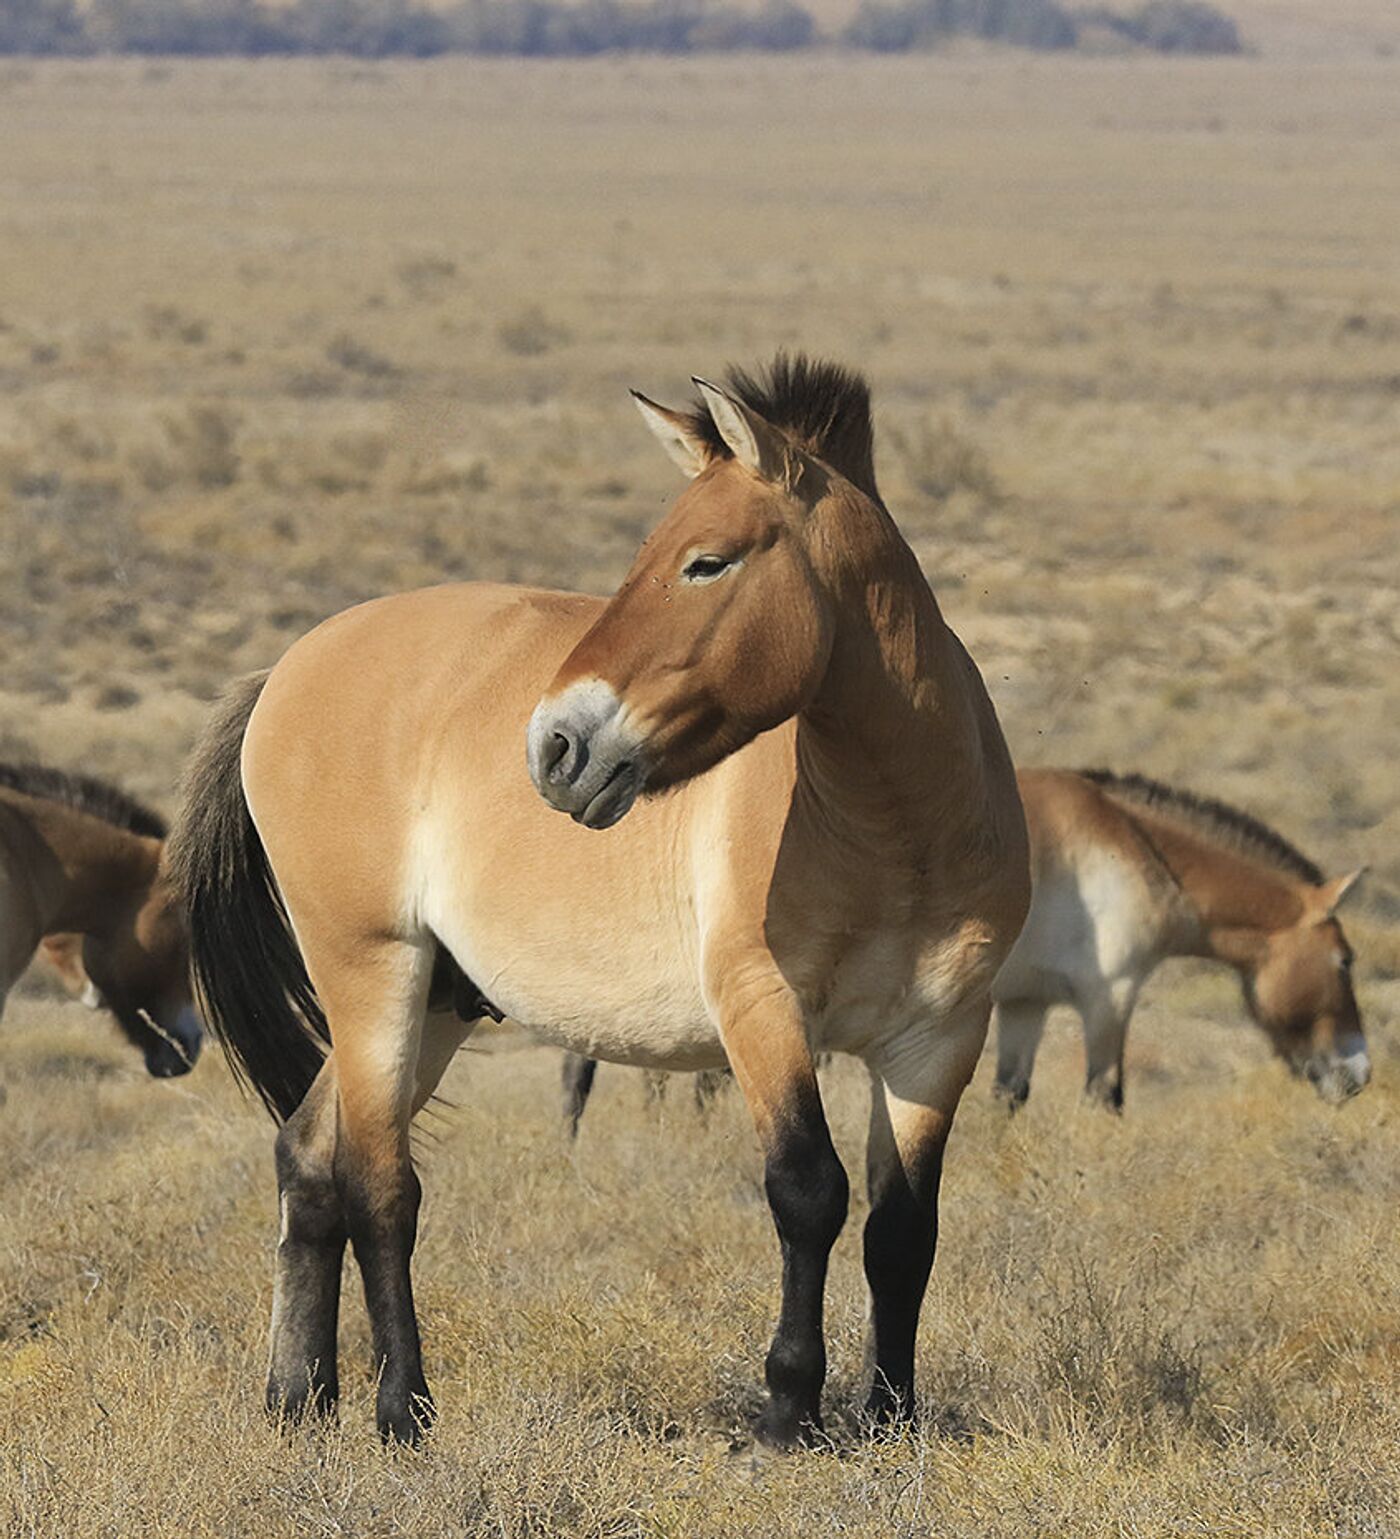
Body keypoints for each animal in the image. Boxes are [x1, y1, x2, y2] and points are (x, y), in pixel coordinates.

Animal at [172, 353, 1027, 1446]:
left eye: (706, 563)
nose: (556, 747)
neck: (894, 829)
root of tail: (286, 668)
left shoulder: (939, 1040)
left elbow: (901, 1230)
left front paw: (889, 1416)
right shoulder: (762, 1012)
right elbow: (807, 1192)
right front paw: (787, 1408)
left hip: (440, 999)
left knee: (308, 1157)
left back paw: (299, 1399)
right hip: (372, 971)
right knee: (380, 1185)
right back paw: (402, 1408)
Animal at [996, 766, 1372, 1108]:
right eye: (1344, 960)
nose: (1361, 1074)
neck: (1127, 841)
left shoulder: (1025, 1003)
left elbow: (1008, 1096)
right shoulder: (1109, 997)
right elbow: (1104, 1097)